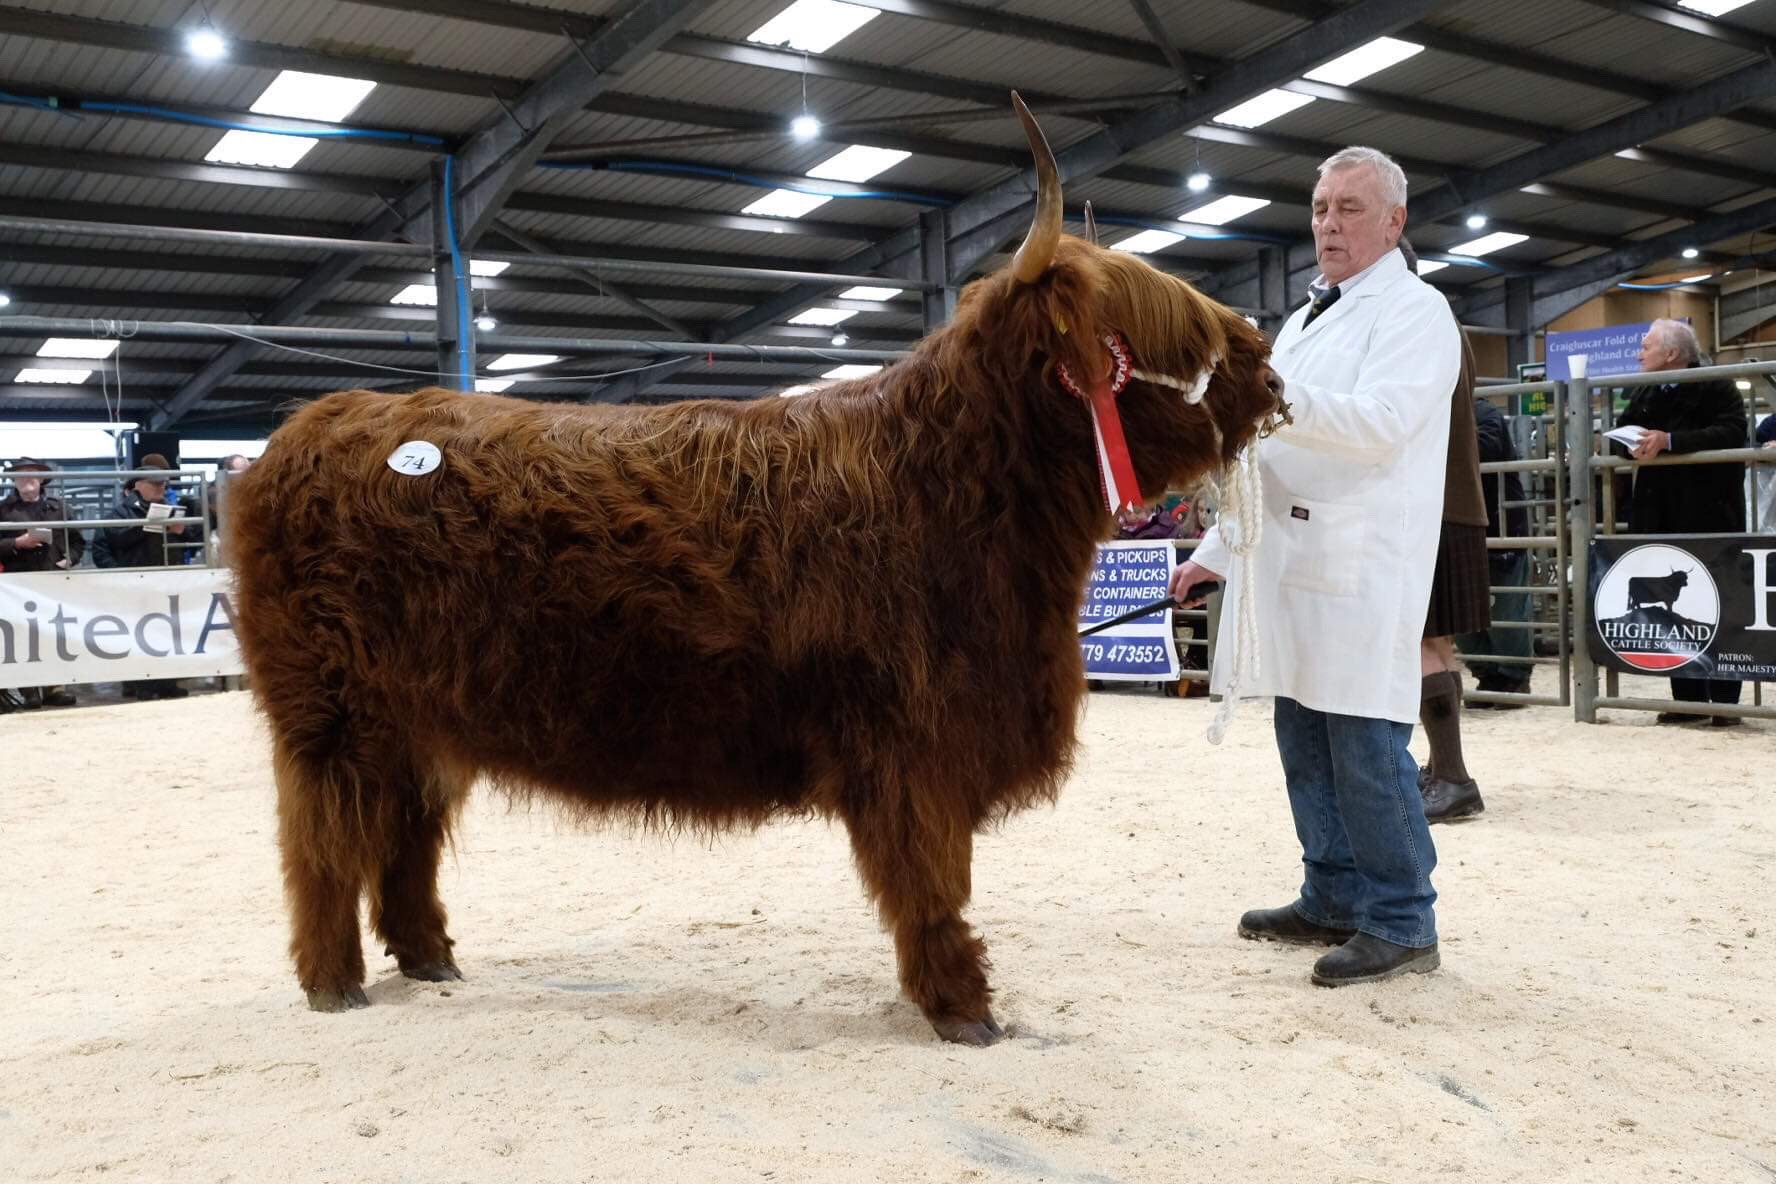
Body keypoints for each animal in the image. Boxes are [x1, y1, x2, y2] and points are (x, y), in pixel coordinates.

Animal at [229, 99, 1285, 1043]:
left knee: (403, 842)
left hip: (420, 721)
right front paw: (963, 1006)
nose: (1270, 373)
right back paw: (334, 983)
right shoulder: (915, 740)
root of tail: (311, 425)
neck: (948, 480)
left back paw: (430, 959)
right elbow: (933, 879)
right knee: (324, 848)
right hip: (333, 718)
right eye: (1155, 333)